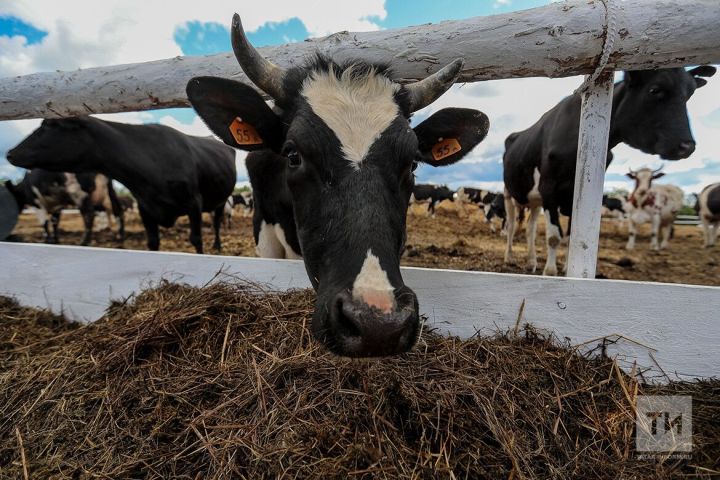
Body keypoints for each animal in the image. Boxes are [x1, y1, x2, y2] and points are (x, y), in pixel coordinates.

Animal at [7, 116, 236, 255]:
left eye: (48, 126)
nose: (10, 152)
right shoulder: (145, 208)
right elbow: (153, 242)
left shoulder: (193, 203)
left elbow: (196, 239)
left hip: (220, 201)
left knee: (216, 223)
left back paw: (217, 245)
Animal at [500, 65, 716, 274]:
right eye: (655, 90)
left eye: (690, 94)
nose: (687, 146)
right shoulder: (549, 190)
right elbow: (554, 237)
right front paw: (550, 272)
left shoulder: (571, 198)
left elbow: (571, 238)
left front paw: (567, 268)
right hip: (509, 193)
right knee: (511, 226)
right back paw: (509, 257)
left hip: (535, 199)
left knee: (530, 228)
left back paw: (531, 262)